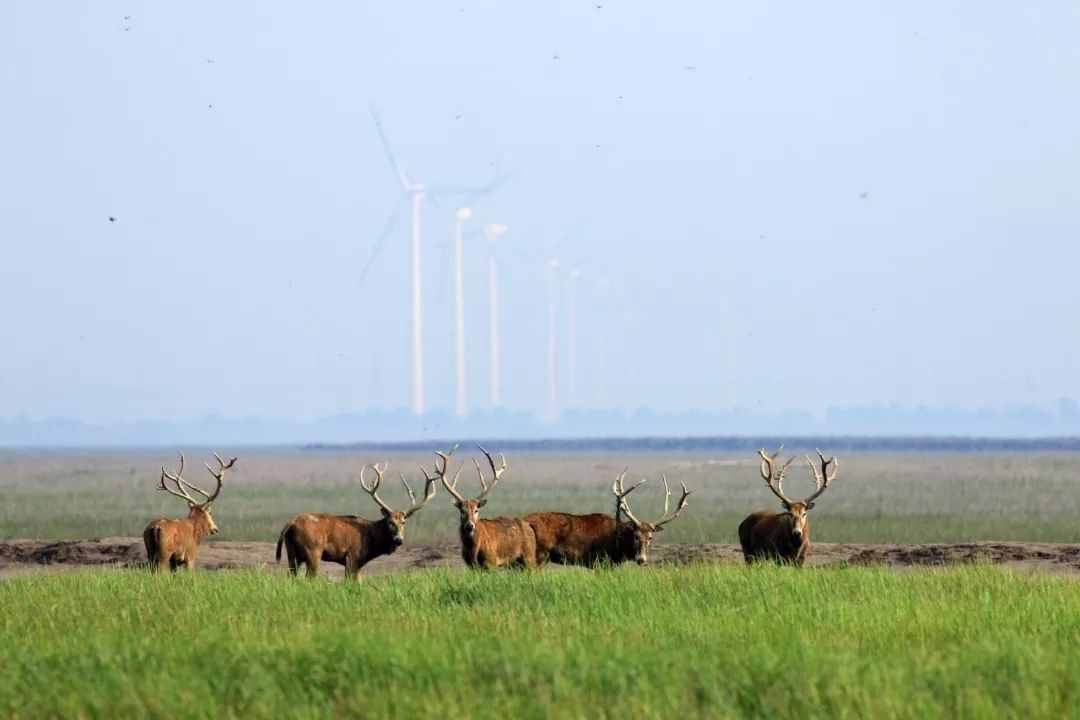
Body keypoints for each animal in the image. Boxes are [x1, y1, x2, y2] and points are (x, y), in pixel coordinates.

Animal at [276, 462, 440, 578]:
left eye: (403, 522)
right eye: (390, 522)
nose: (399, 539)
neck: (372, 540)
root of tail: (290, 523)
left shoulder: (359, 563)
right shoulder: (352, 556)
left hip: (292, 553)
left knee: (291, 576)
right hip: (313, 551)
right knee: (309, 578)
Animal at [524, 472, 691, 569]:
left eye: (650, 537)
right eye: (636, 536)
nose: (642, 559)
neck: (619, 546)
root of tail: (524, 521)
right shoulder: (601, 561)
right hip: (539, 554)